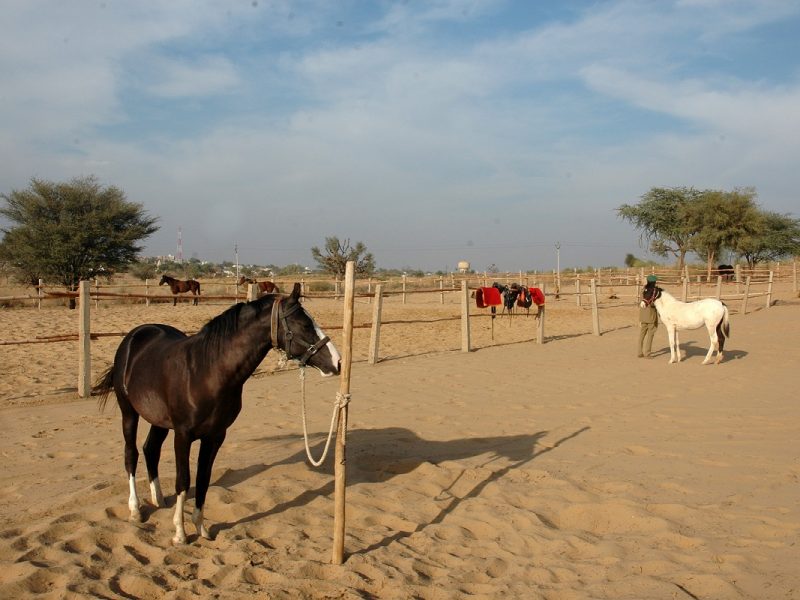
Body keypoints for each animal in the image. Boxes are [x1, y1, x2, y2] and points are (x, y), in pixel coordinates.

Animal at [92, 283, 341, 544]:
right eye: (304, 324)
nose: (337, 362)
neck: (207, 371)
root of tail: (134, 336)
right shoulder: (183, 435)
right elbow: (183, 480)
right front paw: (180, 533)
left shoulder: (215, 436)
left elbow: (203, 479)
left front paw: (201, 528)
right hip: (129, 412)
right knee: (131, 454)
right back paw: (135, 510)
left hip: (158, 420)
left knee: (151, 450)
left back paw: (158, 499)